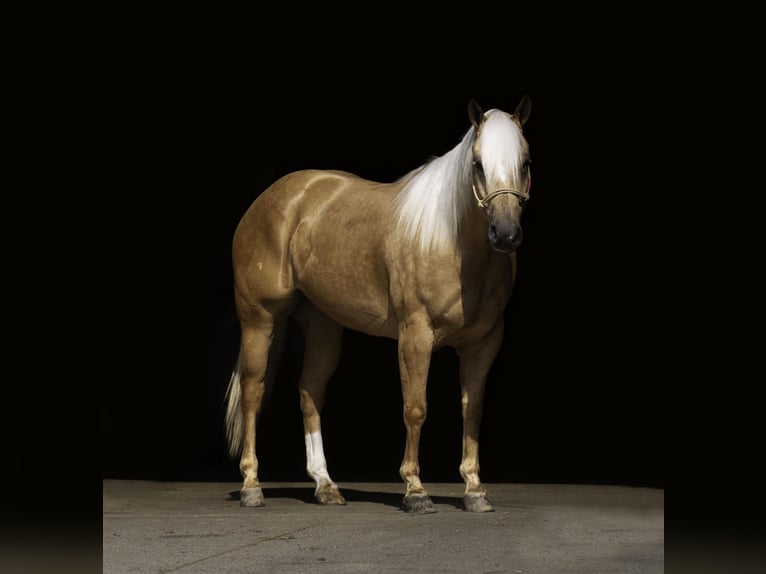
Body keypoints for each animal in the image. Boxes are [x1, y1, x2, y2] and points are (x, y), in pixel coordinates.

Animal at [224, 96, 532, 513]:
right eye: (478, 163)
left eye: (525, 162)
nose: (505, 234)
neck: (449, 240)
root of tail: (269, 200)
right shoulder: (415, 336)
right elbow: (416, 408)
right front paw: (415, 491)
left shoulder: (484, 344)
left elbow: (473, 409)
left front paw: (474, 490)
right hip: (259, 320)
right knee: (253, 393)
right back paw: (251, 485)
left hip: (323, 326)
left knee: (310, 393)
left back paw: (325, 485)